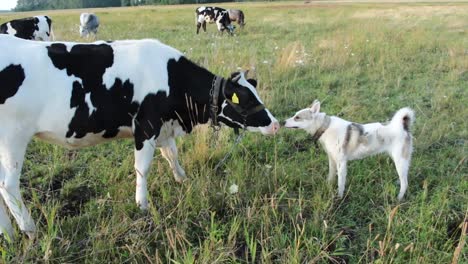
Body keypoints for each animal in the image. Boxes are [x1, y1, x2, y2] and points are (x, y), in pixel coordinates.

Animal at [0, 35, 280, 239]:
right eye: (245, 100)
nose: (276, 125)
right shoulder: (145, 126)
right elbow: (143, 168)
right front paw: (142, 204)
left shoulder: (163, 127)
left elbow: (171, 154)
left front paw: (182, 179)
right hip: (14, 137)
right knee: (9, 186)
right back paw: (29, 229)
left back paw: (9, 234)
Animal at [286, 100, 414, 200]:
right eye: (294, 115)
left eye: (297, 117)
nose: (283, 122)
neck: (325, 127)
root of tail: (402, 127)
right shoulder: (332, 160)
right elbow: (331, 176)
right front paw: (328, 186)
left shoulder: (341, 163)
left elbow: (340, 183)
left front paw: (339, 198)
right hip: (397, 159)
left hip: (400, 160)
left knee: (405, 183)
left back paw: (399, 199)